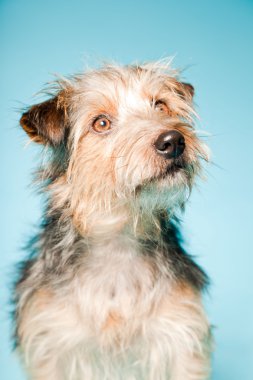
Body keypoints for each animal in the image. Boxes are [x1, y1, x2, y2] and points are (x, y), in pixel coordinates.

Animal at [13, 60, 211, 378]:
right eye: (101, 123)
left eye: (161, 106)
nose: (173, 141)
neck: (118, 239)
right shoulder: (51, 343)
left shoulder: (181, 336)